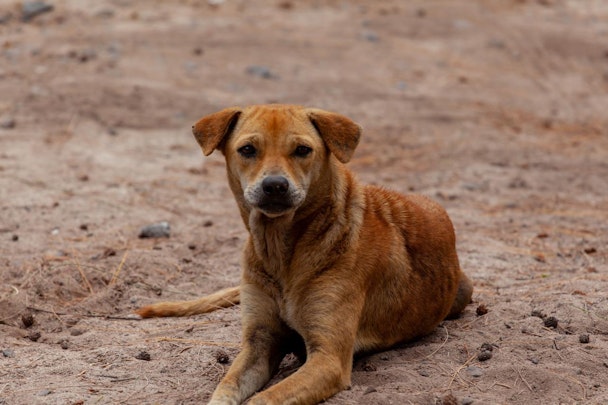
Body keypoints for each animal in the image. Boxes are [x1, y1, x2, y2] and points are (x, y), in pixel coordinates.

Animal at [135, 105, 472, 404]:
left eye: (302, 150)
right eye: (247, 149)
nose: (275, 186)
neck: (280, 251)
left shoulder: (328, 359)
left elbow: (264, 400)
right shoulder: (259, 343)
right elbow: (225, 389)